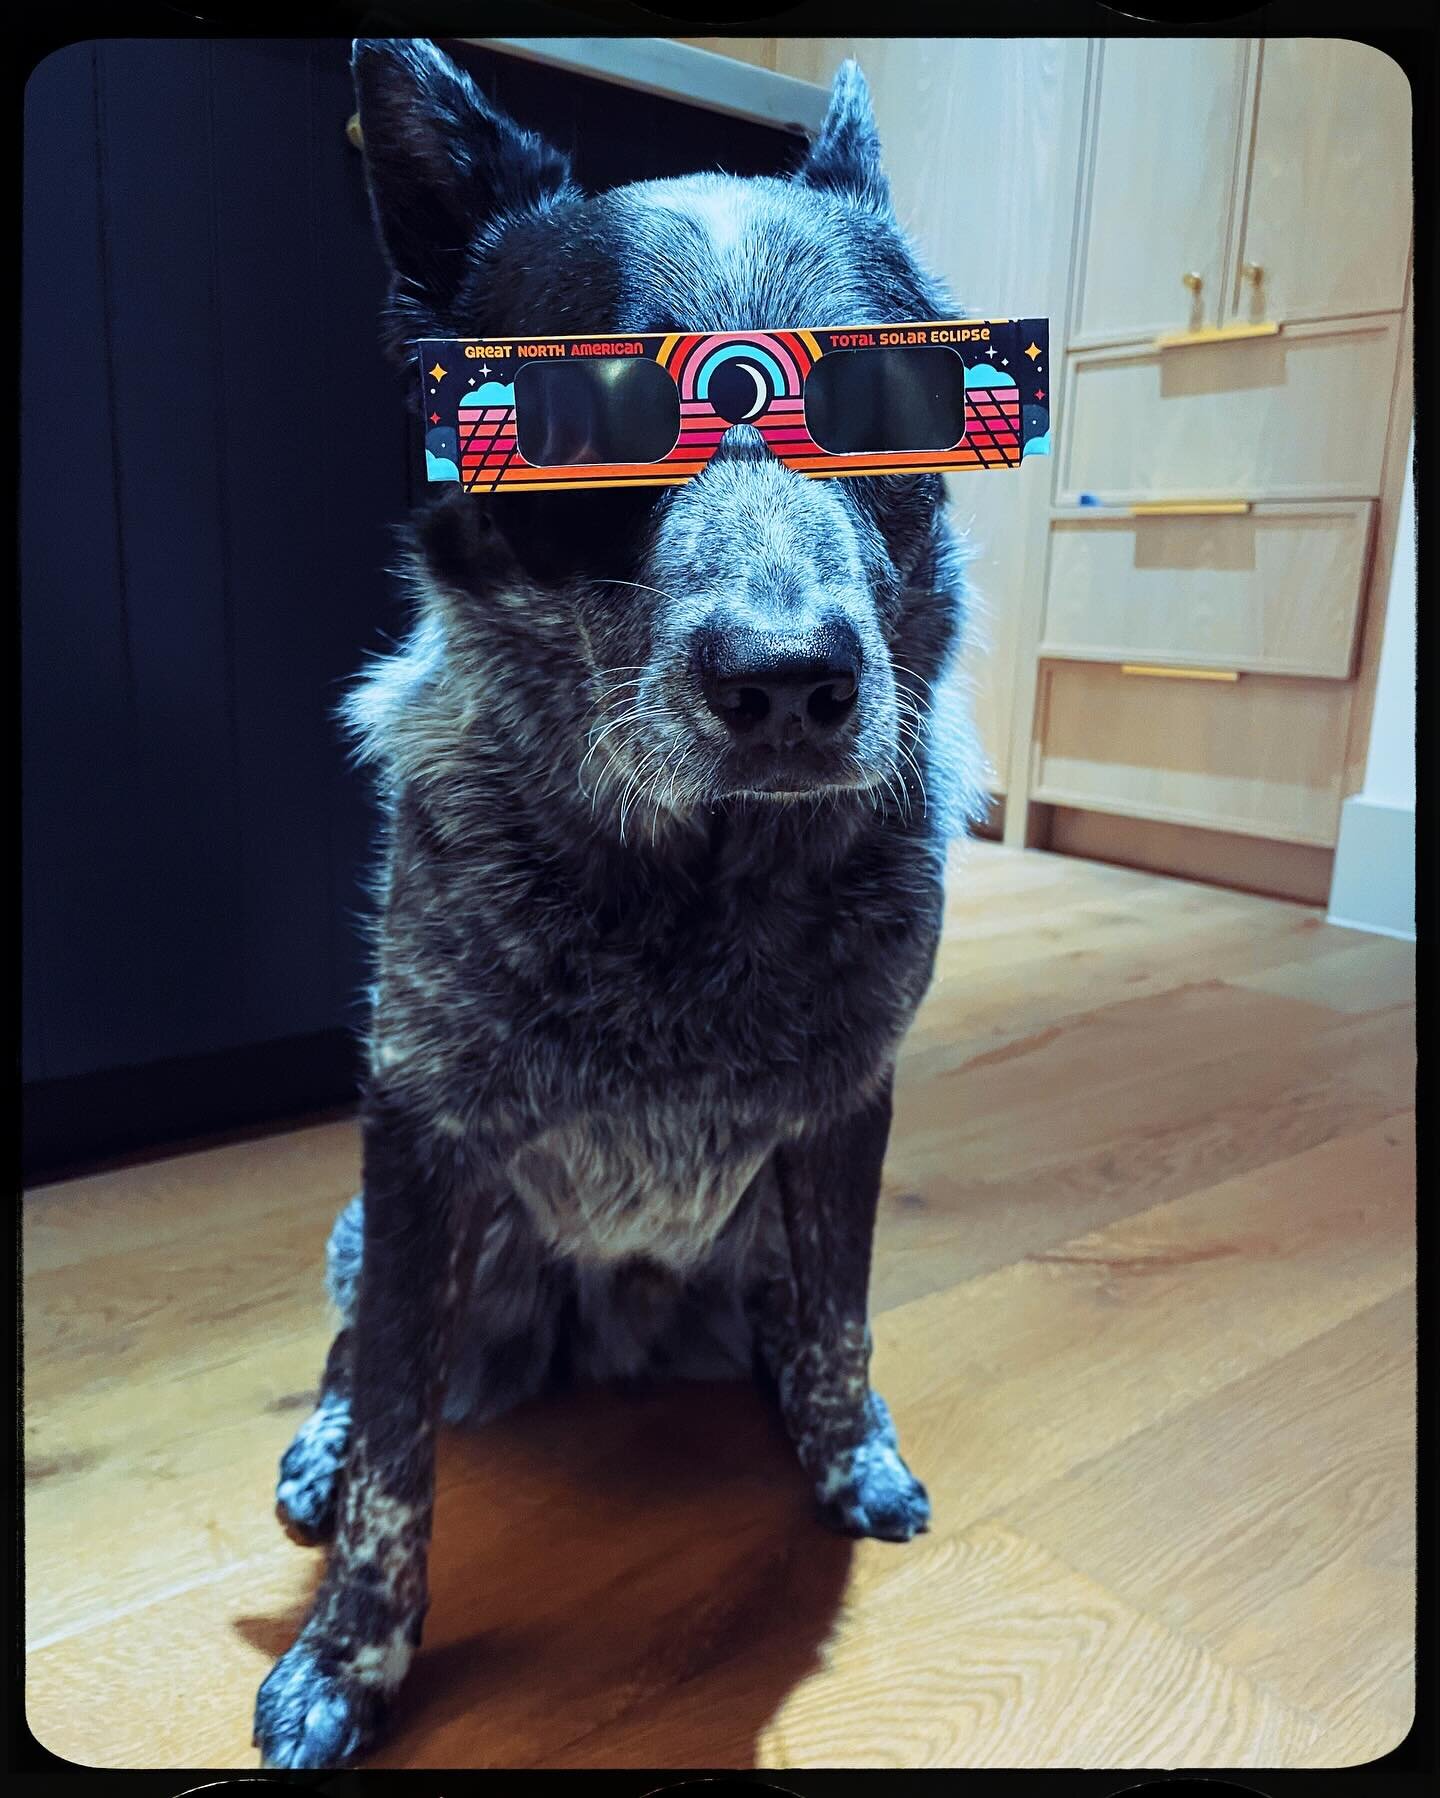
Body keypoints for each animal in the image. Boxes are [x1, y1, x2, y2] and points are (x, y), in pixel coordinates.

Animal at [253, 38, 985, 1769]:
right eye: (589, 415)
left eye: (881, 400)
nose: (789, 682)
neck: (688, 890)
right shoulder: (421, 1133)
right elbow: (394, 1446)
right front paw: (349, 1660)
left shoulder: (845, 1113)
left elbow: (846, 1319)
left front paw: (847, 1451)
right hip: (400, 1231)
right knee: (356, 1344)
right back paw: (318, 1439)